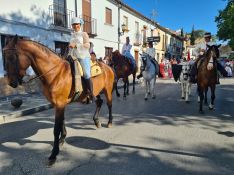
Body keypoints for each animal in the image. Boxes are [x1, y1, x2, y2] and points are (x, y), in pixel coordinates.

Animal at [2, 35, 114, 165]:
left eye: (12, 57)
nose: (12, 83)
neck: (56, 74)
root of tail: (107, 66)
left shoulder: (60, 104)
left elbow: (56, 129)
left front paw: (53, 154)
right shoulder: (59, 104)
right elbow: (61, 123)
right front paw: (62, 140)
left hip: (108, 90)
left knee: (109, 105)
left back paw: (109, 122)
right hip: (96, 92)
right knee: (99, 102)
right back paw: (96, 121)